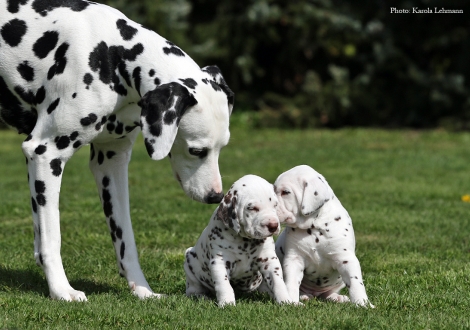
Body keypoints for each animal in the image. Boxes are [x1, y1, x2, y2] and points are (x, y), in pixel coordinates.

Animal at [0, 0, 235, 302]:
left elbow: (125, 238)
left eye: (222, 148)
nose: (215, 196)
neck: (113, 56)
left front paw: (143, 290)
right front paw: (61, 289)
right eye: (196, 150)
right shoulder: (45, 154)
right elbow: (51, 239)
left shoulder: (111, 164)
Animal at [185, 175, 292, 306]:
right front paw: (227, 303)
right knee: (193, 290)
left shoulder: (269, 260)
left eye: (275, 205)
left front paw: (287, 301)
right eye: (252, 208)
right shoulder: (219, 262)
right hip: (189, 260)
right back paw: (202, 297)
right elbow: (224, 285)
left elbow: (278, 283)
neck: (246, 242)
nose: (273, 226)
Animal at [274, 166, 372, 308]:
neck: (314, 227)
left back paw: (337, 297)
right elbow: (291, 283)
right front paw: (291, 302)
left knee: (328, 294)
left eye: (285, 192)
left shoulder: (346, 259)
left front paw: (363, 303)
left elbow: (355, 283)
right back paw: (304, 296)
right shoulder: (294, 259)